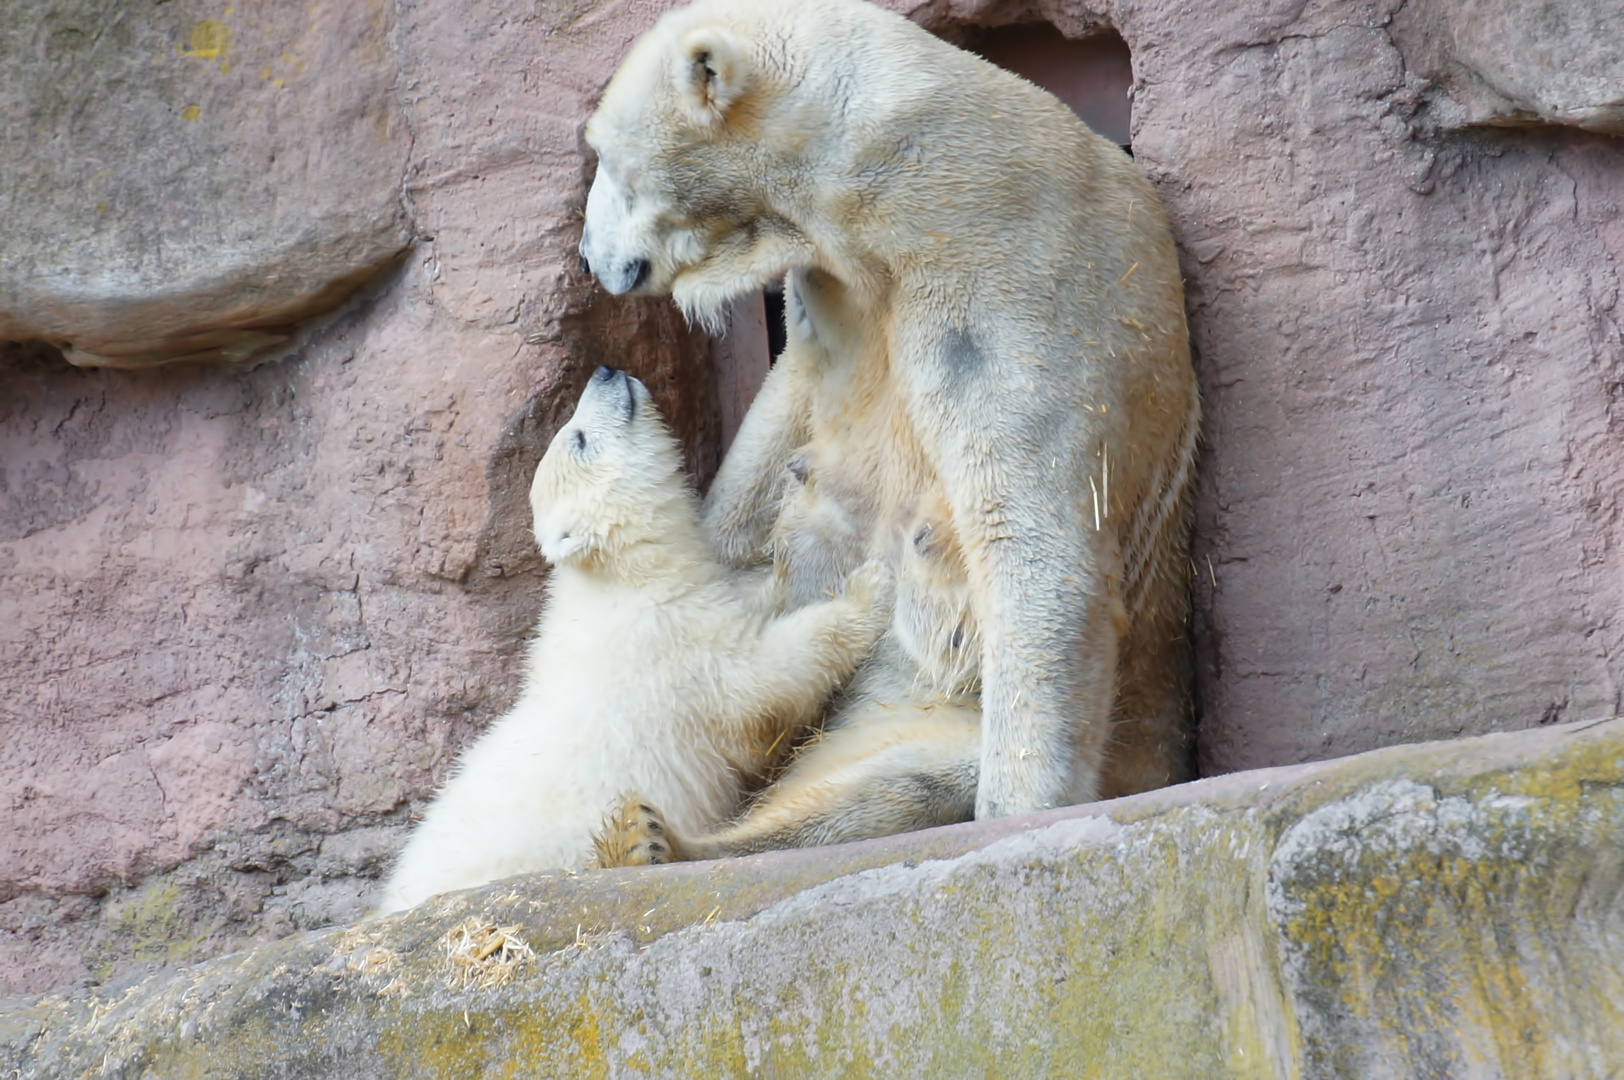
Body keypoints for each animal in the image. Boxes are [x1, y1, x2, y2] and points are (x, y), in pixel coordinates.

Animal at [578, 0, 1201, 818]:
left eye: (604, 156)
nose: (586, 254)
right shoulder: (828, 305)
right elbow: (773, 443)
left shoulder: (1016, 281)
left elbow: (1034, 540)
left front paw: (1017, 807)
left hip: (920, 707)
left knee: (886, 785)